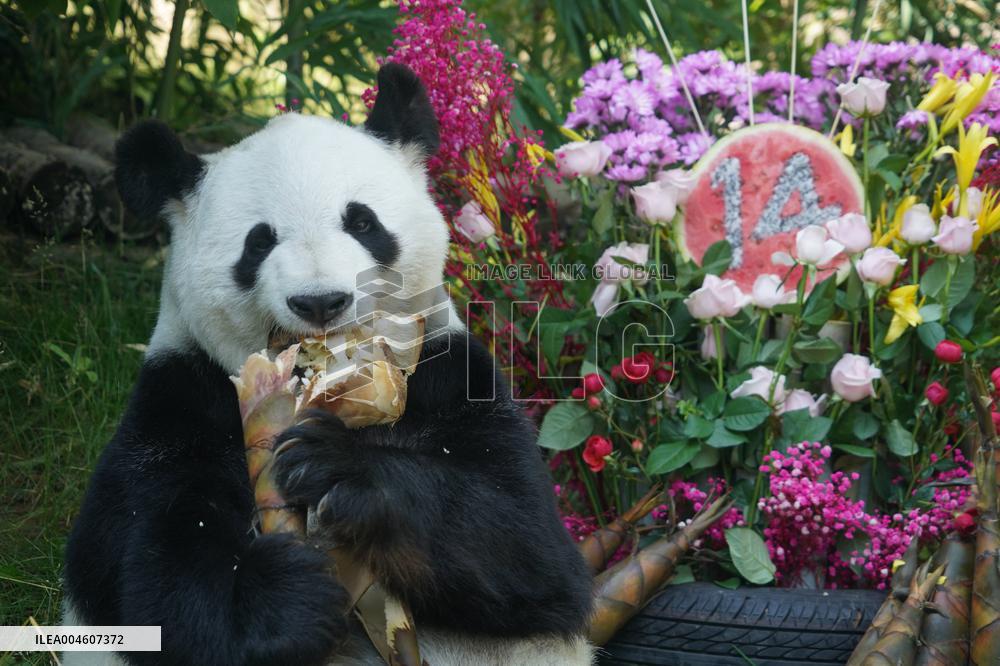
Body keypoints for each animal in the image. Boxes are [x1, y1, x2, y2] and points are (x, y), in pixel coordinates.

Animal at [62, 64, 593, 665]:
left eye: (362, 223)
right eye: (258, 243)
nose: (320, 301)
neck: (335, 384)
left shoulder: (450, 375)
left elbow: (527, 545)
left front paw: (337, 467)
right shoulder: (182, 399)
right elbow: (157, 575)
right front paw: (284, 596)